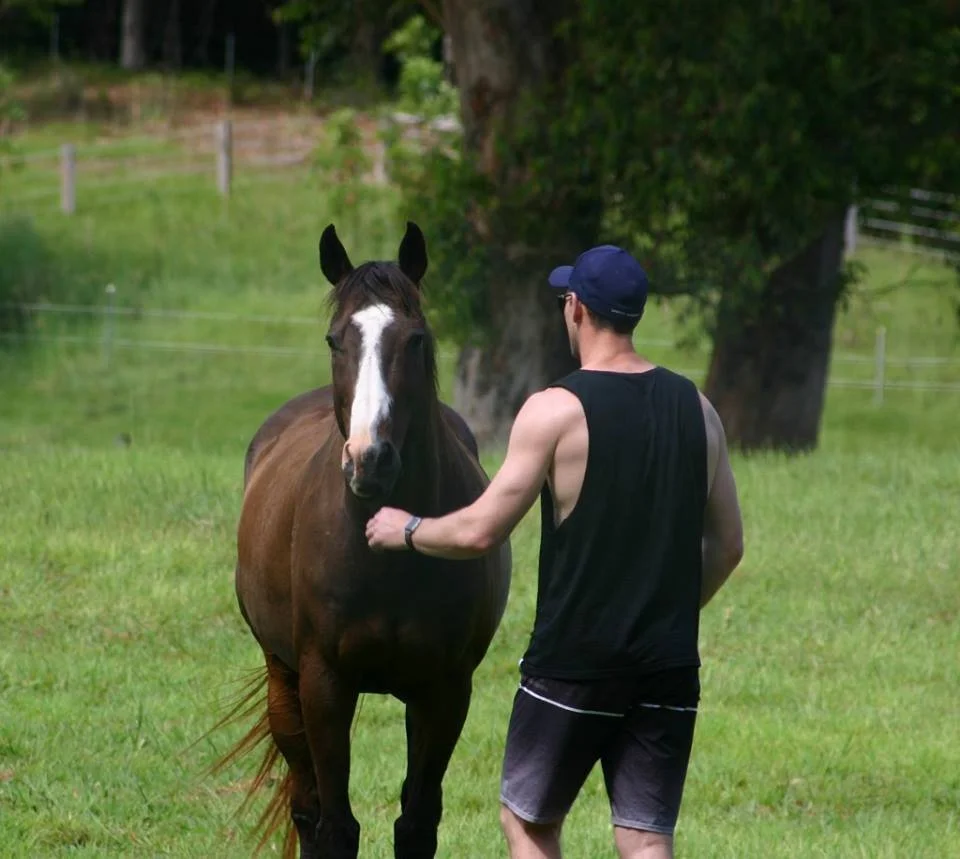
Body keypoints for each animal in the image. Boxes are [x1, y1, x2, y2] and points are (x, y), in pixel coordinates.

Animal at [222, 221, 513, 859]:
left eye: (416, 339)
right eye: (336, 340)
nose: (369, 461)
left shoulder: (445, 691)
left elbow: (416, 823)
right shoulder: (325, 685)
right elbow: (336, 826)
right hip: (283, 681)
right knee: (307, 808)